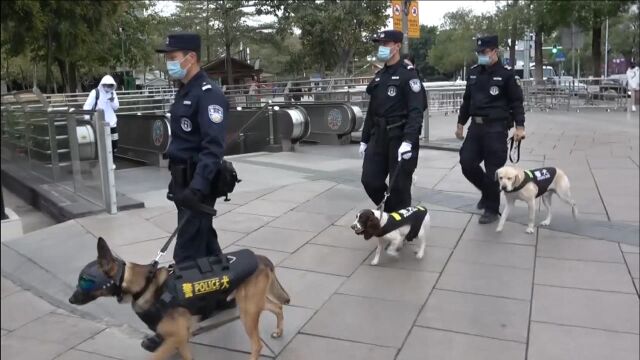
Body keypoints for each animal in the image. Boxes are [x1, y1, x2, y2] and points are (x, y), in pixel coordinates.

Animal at [69, 238, 290, 358]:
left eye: (84, 281)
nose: (71, 300)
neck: (143, 285)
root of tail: (261, 259)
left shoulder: (177, 337)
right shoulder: (180, 339)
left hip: (248, 310)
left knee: (257, 344)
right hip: (252, 304)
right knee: (277, 307)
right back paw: (279, 330)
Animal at [360, 30, 424, 214]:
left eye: (386, 42)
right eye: (380, 41)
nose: (380, 47)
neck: (390, 68)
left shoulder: (412, 81)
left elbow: (415, 110)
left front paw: (405, 148)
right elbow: (372, 181)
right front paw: (363, 146)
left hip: (401, 158)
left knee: (400, 185)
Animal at [456, 35, 524, 222]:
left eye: (485, 50)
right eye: (478, 50)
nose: (479, 56)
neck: (488, 68)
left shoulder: (512, 80)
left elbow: (516, 102)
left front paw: (520, 131)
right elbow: (467, 98)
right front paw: (459, 129)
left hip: (495, 145)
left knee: (493, 166)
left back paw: (491, 210)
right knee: (471, 165)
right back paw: (485, 199)